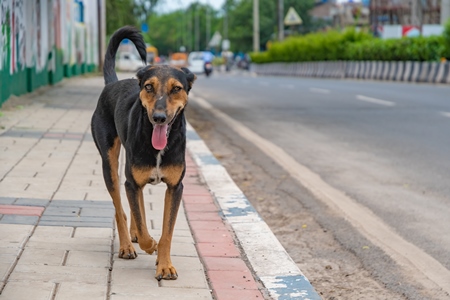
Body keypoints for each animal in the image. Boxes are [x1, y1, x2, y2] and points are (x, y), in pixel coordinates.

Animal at [91, 27, 195, 280]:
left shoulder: (175, 187)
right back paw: (127, 246)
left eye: (176, 89)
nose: (159, 118)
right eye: (149, 87)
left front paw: (165, 265)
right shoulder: (131, 181)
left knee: (134, 205)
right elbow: (141, 222)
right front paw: (150, 245)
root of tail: (112, 83)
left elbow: (167, 231)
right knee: (120, 208)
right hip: (110, 165)